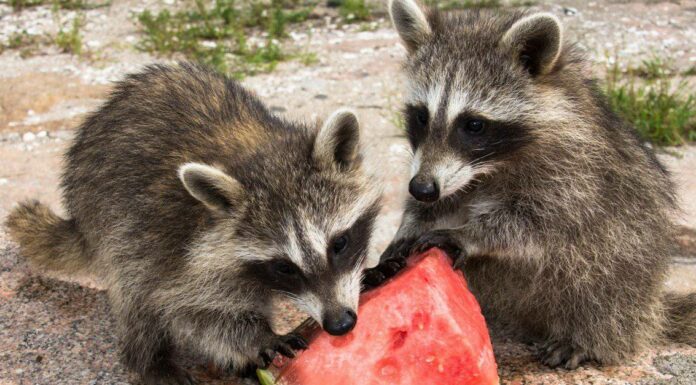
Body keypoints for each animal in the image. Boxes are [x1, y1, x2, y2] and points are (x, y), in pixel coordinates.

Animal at [5, 61, 380, 382]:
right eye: (284, 267)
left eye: (339, 243)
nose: (340, 324)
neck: (261, 152)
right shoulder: (181, 250)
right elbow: (193, 313)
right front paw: (258, 338)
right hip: (108, 220)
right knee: (134, 296)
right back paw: (150, 361)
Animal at [364, 0, 696, 368]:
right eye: (421, 116)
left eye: (474, 124)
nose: (422, 189)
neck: (487, 169)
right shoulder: (445, 173)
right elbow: (439, 202)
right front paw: (409, 225)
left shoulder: (574, 174)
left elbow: (535, 225)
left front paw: (469, 233)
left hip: (631, 264)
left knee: (603, 284)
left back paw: (588, 336)